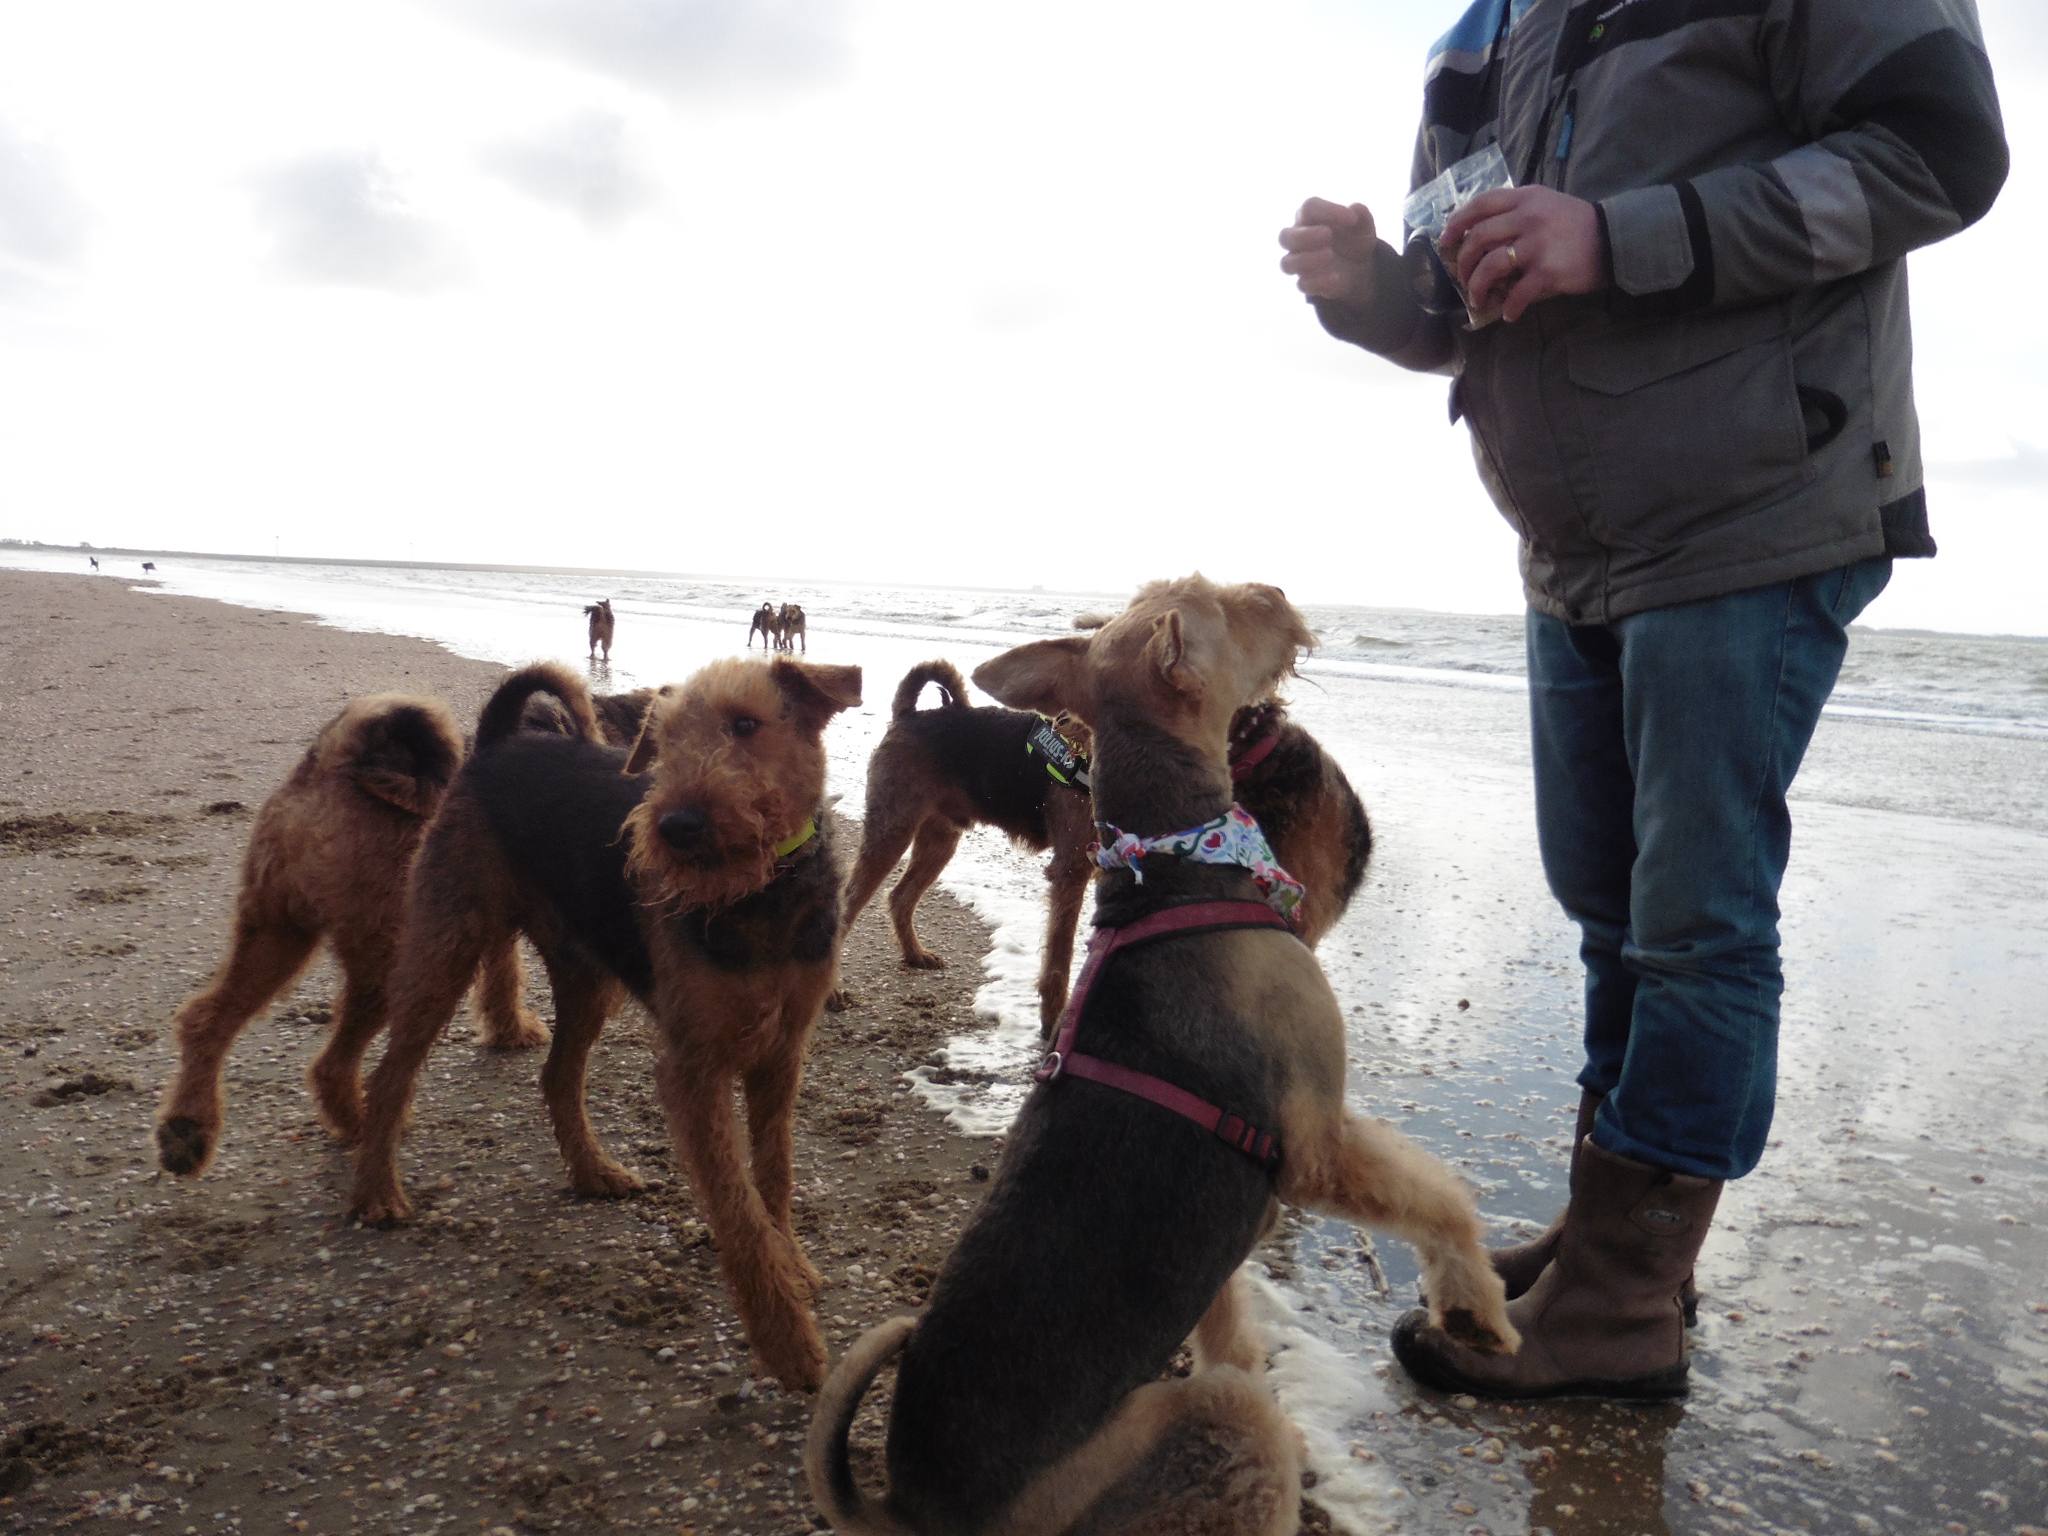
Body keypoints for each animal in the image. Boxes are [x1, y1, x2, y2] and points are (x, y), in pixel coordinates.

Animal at [154, 696, 549, 1178]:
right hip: (387, 961)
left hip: (276, 933)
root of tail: (331, 763)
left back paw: (187, 1129)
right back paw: (362, 1123)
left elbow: (503, 977)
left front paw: (509, 1031)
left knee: (206, 1019)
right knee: (333, 1063)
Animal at [347, 657, 861, 1391]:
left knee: (557, 1077)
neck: (762, 898)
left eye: (745, 724)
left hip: (588, 981)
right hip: (446, 948)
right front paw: (787, 1342)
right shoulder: (693, 1069)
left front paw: (792, 1267)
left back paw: (594, 1171)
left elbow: (774, 1180)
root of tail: (498, 743)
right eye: (664, 741)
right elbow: (738, 1208)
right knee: (392, 1075)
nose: (674, 827)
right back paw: (376, 1193)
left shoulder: (780, 1054)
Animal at [843, 661, 1371, 1035]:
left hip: (939, 837)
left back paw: (915, 955)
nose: (1063, 725)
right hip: (892, 829)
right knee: (849, 903)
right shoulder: (1072, 869)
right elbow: (1058, 963)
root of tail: (910, 715)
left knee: (899, 896)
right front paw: (1054, 1026)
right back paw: (834, 994)